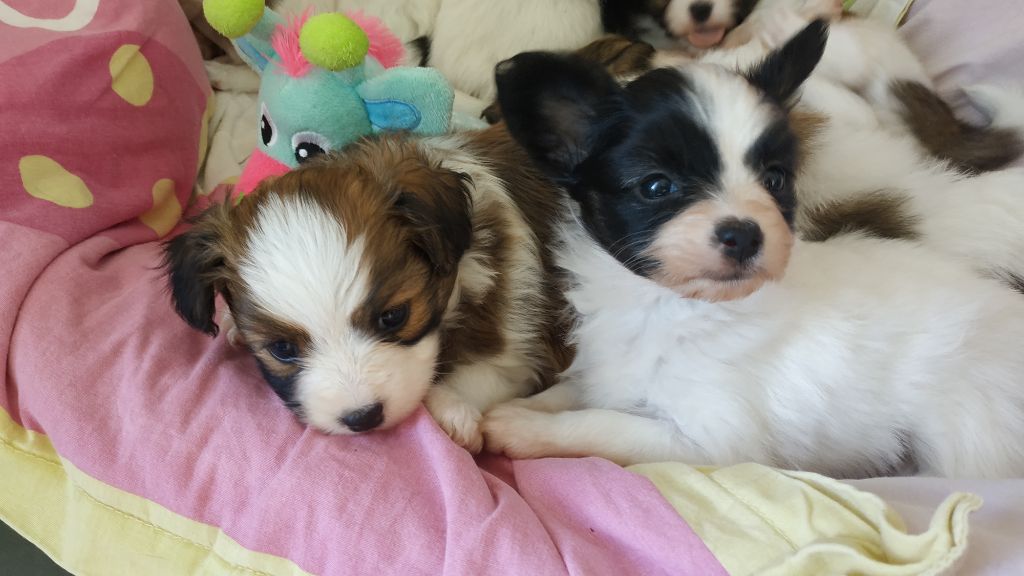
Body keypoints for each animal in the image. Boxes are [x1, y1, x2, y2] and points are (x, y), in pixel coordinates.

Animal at [164, 128, 572, 452]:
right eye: (282, 349)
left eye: (394, 317)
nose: (362, 418)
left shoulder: (515, 348)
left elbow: (488, 371)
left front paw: (450, 409)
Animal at [481, 21, 1024, 478]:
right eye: (657, 186)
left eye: (776, 179)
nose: (745, 233)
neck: (672, 308)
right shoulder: (607, 368)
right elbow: (573, 389)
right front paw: (514, 409)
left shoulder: (708, 440)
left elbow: (602, 424)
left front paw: (523, 429)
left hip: (966, 437)